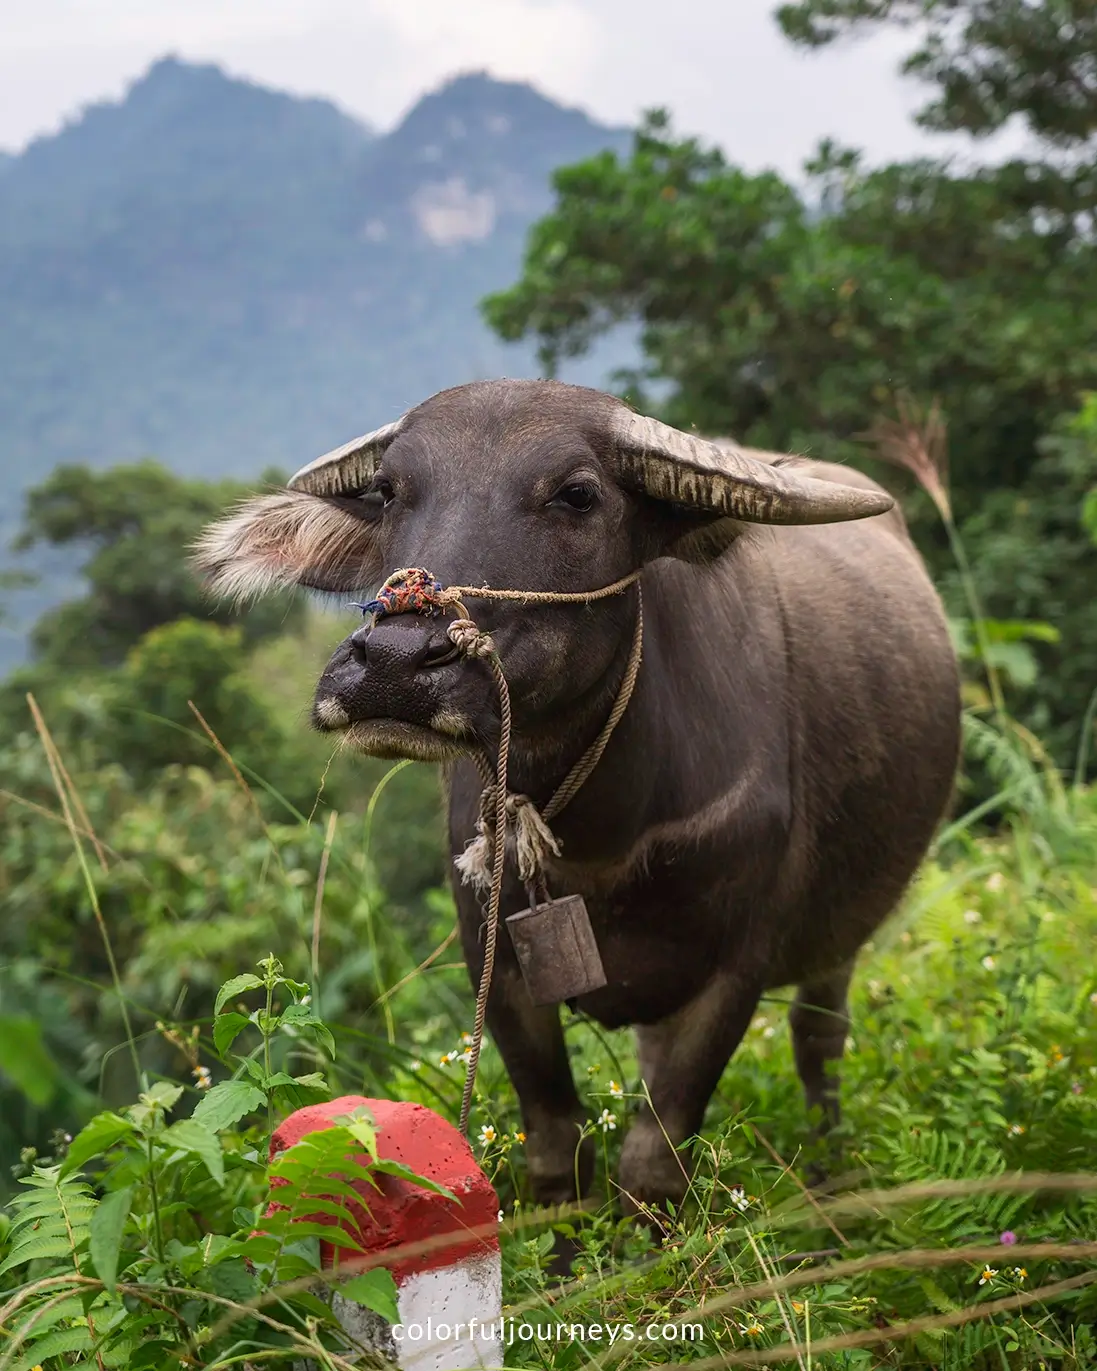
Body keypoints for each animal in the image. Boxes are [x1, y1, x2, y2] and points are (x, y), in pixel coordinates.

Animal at [196, 379, 960, 1214]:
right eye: (392, 490)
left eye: (576, 494)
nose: (394, 664)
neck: (602, 835)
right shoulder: (492, 959)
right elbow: (557, 1148)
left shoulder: (736, 965)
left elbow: (653, 1159)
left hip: (839, 937)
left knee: (819, 1038)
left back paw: (829, 1166)